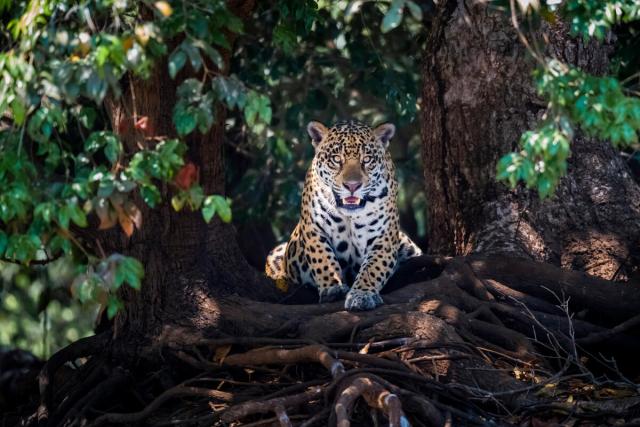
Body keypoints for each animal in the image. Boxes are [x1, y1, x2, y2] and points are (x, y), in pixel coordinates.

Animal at [265, 120, 422, 311]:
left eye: (366, 160)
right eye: (336, 159)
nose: (352, 185)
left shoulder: (384, 237)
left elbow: (373, 268)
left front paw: (362, 294)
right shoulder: (313, 228)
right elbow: (322, 258)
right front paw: (333, 287)